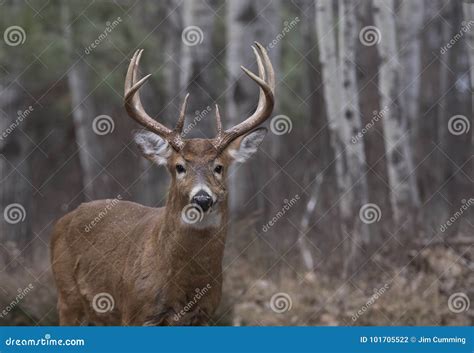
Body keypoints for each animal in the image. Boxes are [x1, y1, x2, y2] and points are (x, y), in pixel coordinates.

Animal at [51, 42, 274, 324]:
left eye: (219, 167)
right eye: (179, 166)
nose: (202, 198)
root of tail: (62, 220)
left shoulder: (206, 313)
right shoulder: (135, 311)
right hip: (67, 297)